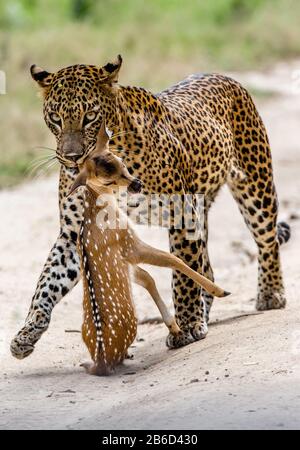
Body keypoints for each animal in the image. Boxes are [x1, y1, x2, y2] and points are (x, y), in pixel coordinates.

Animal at [10, 55, 290, 358]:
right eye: (55, 118)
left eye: (90, 117)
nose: (71, 158)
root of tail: (224, 77)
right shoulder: (75, 233)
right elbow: (48, 281)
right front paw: (27, 332)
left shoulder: (181, 214)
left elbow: (182, 273)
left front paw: (188, 324)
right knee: (207, 265)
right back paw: (206, 308)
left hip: (255, 186)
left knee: (267, 240)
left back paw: (270, 294)